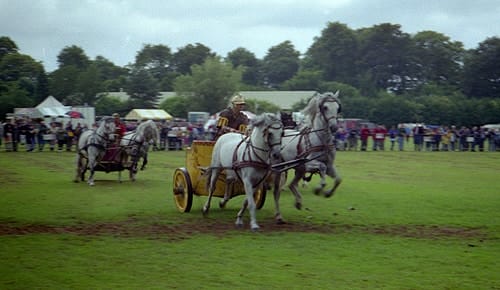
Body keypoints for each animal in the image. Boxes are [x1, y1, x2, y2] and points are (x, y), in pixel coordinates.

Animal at [272, 92, 342, 223]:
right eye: (325, 107)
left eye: (337, 107)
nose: (334, 127)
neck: (322, 140)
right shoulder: (307, 164)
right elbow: (322, 167)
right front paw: (319, 188)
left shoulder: (329, 166)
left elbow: (338, 179)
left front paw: (328, 193)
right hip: (280, 169)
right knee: (276, 191)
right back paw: (279, 215)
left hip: (298, 169)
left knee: (292, 185)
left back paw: (298, 202)